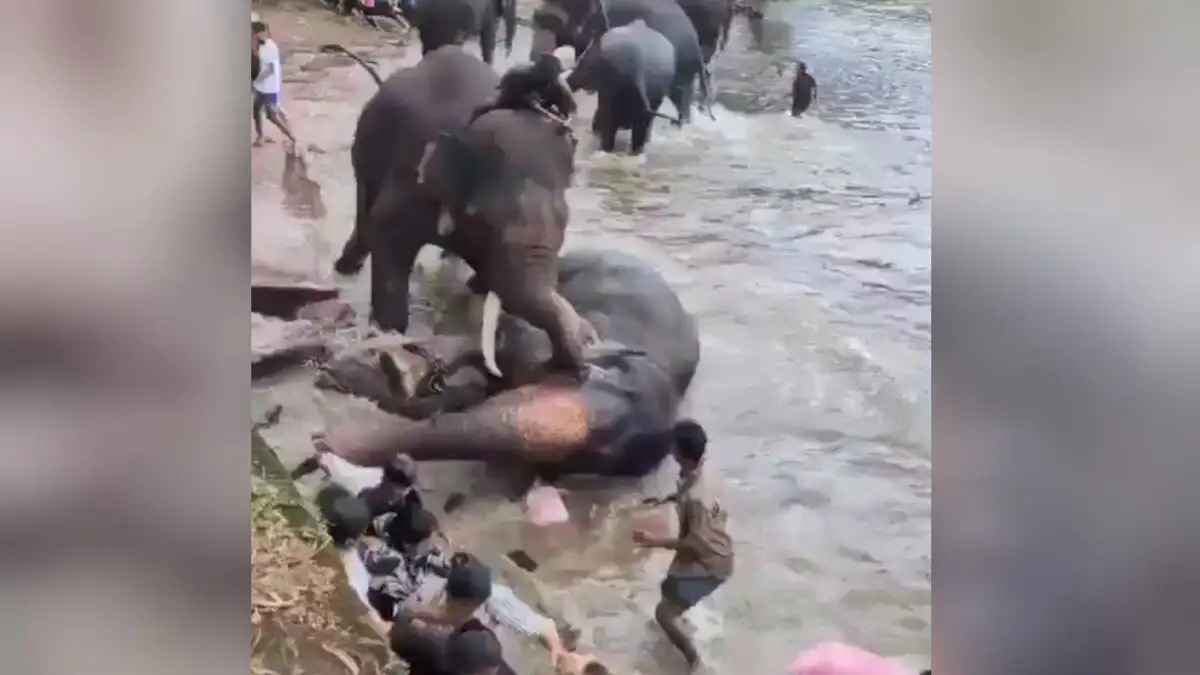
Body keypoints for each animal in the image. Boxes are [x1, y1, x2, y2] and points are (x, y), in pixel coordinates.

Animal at [329, 45, 593, 377]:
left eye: (565, 224)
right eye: (489, 221)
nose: (588, 343)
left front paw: (477, 284)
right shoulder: (411, 179)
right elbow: (388, 234)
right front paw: (389, 334)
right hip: (365, 147)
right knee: (365, 206)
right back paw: (346, 268)